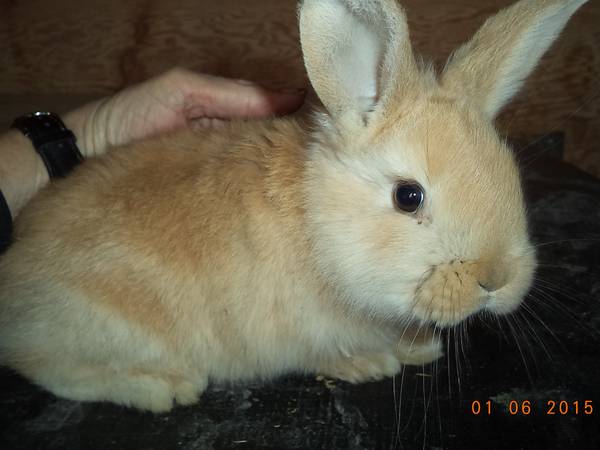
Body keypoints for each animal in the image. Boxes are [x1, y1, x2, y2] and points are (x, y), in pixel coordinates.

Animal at [0, 0, 584, 414]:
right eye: (408, 196)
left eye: (509, 175)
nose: (496, 279)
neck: (315, 225)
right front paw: (373, 363)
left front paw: (417, 349)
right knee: (48, 368)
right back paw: (161, 387)